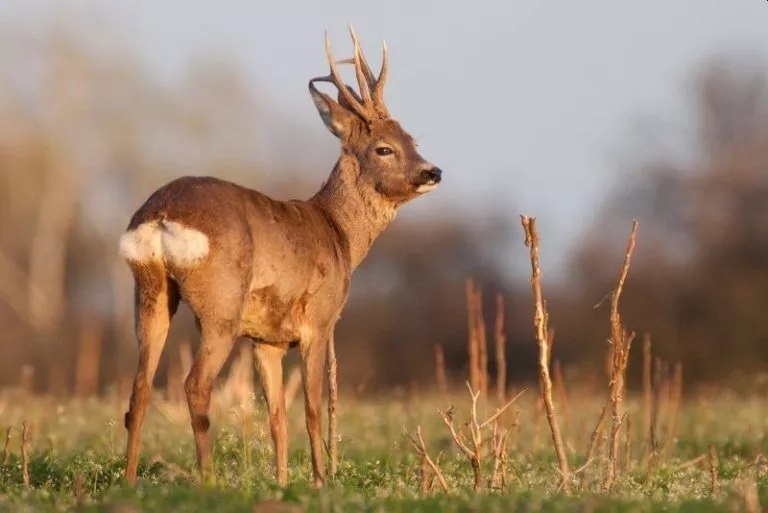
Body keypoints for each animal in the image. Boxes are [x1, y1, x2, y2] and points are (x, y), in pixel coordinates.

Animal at [117, 27, 440, 484]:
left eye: (412, 140)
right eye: (384, 148)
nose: (433, 172)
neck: (338, 234)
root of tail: (160, 214)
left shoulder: (265, 339)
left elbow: (277, 418)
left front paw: (284, 482)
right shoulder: (319, 321)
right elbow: (311, 411)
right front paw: (321, 481)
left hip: (149, 290)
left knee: (140, 389)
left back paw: (129, 480)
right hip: (220, 304)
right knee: (195, 385)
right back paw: (208, 481)